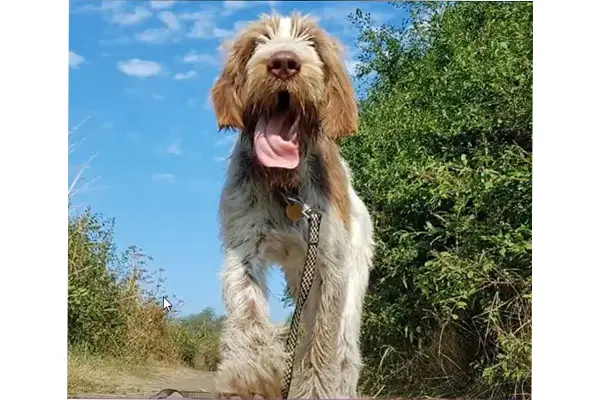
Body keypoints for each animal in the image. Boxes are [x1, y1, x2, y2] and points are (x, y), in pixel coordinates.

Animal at [209, 12, 372, 400]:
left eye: (311, 42)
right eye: (258, 42)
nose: (283, 63)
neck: (285, 186)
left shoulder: (331, 266)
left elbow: (322, 341)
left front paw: (315, 389)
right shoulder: (244, 248)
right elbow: (248, 311)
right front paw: (250, 377)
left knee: (343, 348)